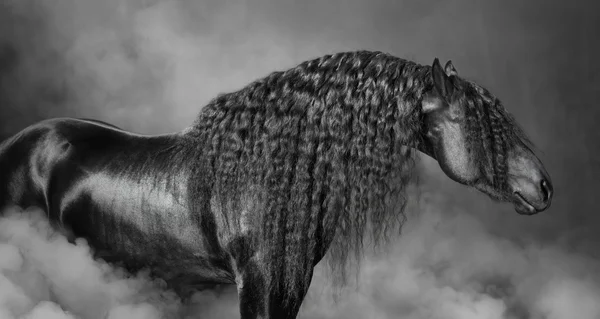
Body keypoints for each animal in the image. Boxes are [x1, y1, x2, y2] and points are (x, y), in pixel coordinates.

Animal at [0, 51, 552, 318]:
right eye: (480, 124)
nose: (545, 187)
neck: (267, 171)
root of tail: (18, 142)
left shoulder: (290, 286)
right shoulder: (259, 286)